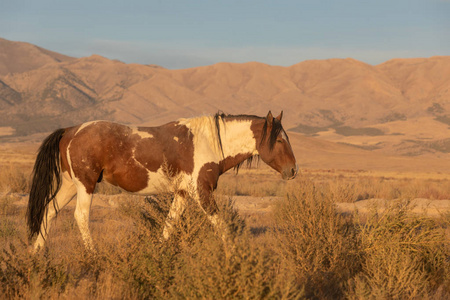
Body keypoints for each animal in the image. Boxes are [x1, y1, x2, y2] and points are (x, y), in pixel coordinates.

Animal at [26, 110, 298, 251]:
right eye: (280, 140)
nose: (293, 170)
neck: (209, 142)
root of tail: (70, 130)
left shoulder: (183, 194)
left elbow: (169, 225)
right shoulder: (202, 193)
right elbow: (222, 227)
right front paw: (234, 257)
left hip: (70, 185)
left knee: (49, 211)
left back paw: (36, 254)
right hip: (86, 185)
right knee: (80, 217)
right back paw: (94, 256)